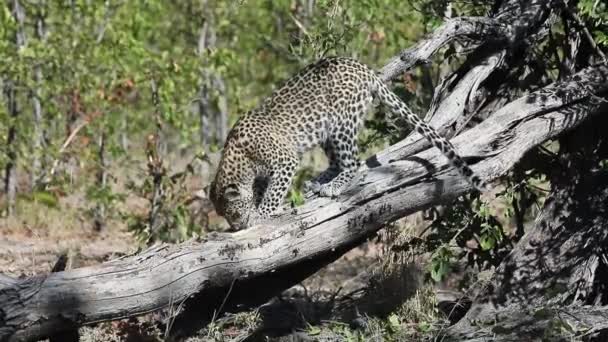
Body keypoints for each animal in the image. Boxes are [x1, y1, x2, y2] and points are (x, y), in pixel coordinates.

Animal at [209, 57, 484, 230]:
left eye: (233, 213)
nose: (237, 227)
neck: (241, 158)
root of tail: (362, 67)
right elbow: (264, 190)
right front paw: (258, 207)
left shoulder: (285, 161)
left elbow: (273, 193)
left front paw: (260, 214)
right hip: (327, 131)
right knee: (336, 163)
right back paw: (317, 183)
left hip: (342, 124)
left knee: (353, 163)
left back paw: (332, 186)